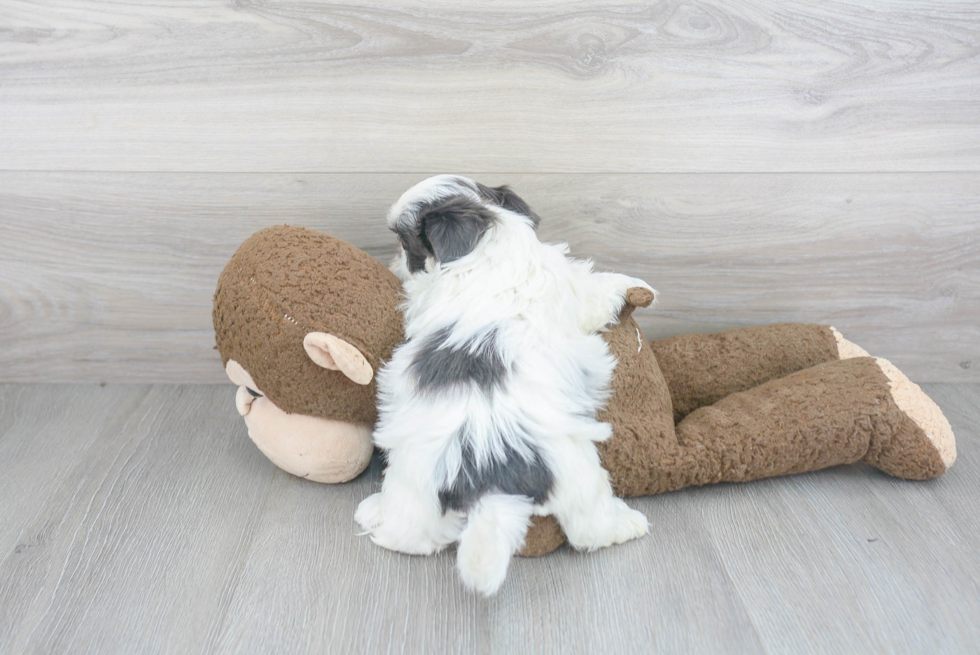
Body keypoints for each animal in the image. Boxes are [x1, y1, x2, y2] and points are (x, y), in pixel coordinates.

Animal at [356, 177, 656, 596]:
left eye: (405, 244)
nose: (395, 262)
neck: (486, 239)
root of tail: (489, 479)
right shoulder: (570, 287)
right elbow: (594, 289)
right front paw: (632, 284)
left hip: (426, 483)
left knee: (412, 535)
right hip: (575, 468)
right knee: (588, 523)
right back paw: (628, 525)